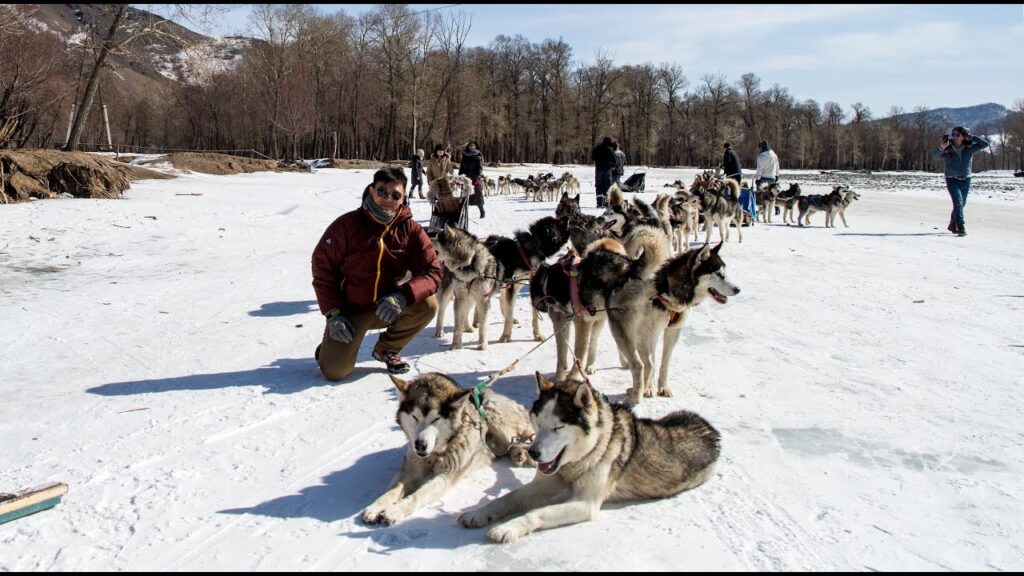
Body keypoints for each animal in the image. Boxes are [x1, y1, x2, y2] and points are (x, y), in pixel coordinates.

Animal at [364, 373, 532, 524]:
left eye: (435, 419)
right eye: (415, 417)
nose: (420, 444)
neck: (436, 454)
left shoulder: (445, 477)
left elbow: (418, 495)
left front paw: (396, 510)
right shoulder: (411, 470)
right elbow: (391, 491)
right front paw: (376, 506)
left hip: (491, 411)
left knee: (523, 436)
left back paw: (522, 452)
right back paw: (516, 453)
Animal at [456, 368, 720, 541]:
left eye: (558, 427)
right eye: (538, 422)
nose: (533, 451)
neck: (582, 458)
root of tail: (710, 429)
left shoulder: (585, 504)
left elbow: (536, 513)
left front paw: (508, 528)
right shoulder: (545, 483)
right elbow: (507, 498)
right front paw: (479, 514)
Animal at [602, 240, 741, 403]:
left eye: (725, 273)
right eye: (718, 274)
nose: (738, 289)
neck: (665, 288)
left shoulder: (673, 331)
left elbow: (664, 362)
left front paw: (662, 387)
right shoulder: (649, 333)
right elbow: (652, 361)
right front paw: (648, 389)